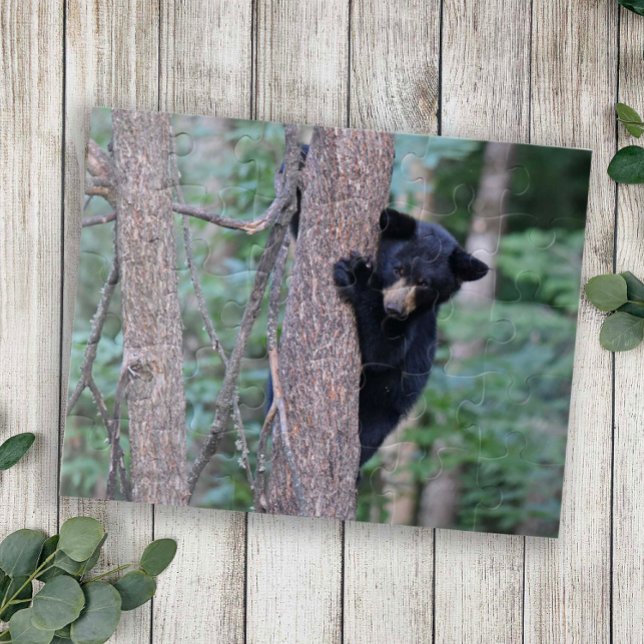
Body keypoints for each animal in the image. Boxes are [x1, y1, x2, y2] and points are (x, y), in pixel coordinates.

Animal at [333, 208, 489, 466]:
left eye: (424, 283)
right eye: (399, 269)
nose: (394, 308)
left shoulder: (415, 324)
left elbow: (382, 353)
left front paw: (357, 274)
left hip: (381, 408)